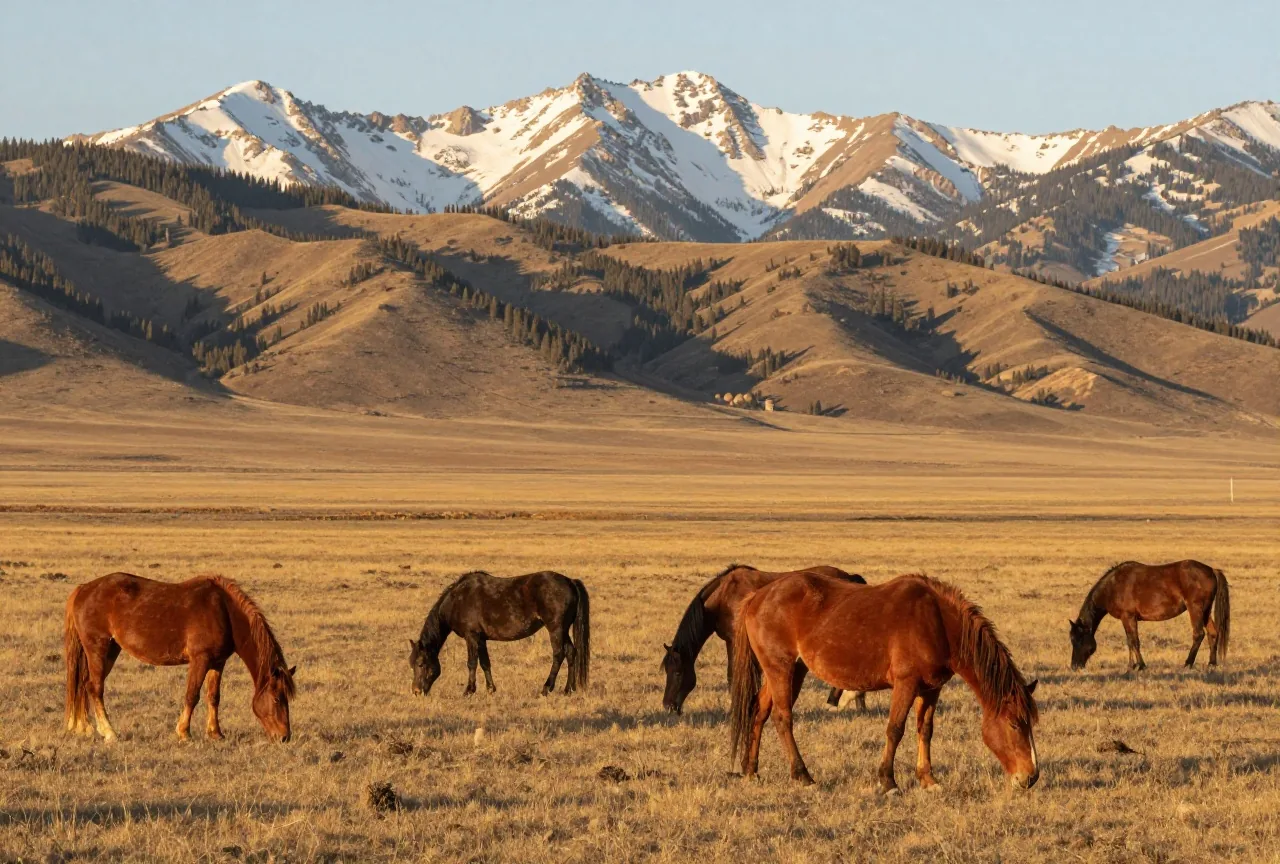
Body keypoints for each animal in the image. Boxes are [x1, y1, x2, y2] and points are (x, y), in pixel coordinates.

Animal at [64, 573, 296, 743]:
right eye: (277, 698)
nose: (284, 737)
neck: (224, 610)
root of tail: (83, 589)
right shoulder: (200, 660)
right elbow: (192, 695)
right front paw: (184, 732)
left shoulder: (218, 662)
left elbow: (214, 696)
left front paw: (215, 733)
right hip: (98, 648)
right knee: (95, 688)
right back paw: (109, 732)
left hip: (110, 650)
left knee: (84, 685)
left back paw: (83, 727)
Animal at [409, 570, 589, 697]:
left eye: (421, 664)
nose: (416, 691)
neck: (457, 600)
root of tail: (570, 582)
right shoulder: (481, 638)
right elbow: (485, 663)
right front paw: (490, 689)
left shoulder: (471, 636)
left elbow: (472, 663)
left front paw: (469, 690)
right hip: (563, 630)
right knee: (571, 652)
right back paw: (568, 689)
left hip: (556, 629)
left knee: (558, 655)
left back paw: (546, 688)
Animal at [661, 564, 868, 715]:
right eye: (666, 671)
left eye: (678, 673)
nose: (668, 706)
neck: (723, 597)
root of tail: (850, 577)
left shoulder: (734, 641)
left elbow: (733, 676)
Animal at [729, 572, 1039, 794]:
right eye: (1014, 724)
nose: (1030, 777)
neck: (937, 622)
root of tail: (757, 596)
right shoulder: (906, 684)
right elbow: (895, 729)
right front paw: (888, 781)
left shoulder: (931, 689)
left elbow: (925, 730)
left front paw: (928, 779)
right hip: (780, 669)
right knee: (783, 718)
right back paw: (802, 775)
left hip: (791, 670)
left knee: (760, 712)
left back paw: (751, 770)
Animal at [1069, 560, 1230, 671]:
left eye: (1077, 639)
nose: (1074, 666)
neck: (1112, 588)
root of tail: (1212, 570)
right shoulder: (1127, 619)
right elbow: (1130, 641)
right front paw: (1131, 665)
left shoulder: (1128, 617)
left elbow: (1134, 641)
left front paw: (1140, 665)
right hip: (1205, 611)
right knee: (1213, 633)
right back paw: (1212, 663)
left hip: (1195, 609)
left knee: (1198, 634)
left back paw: (1188, 663)